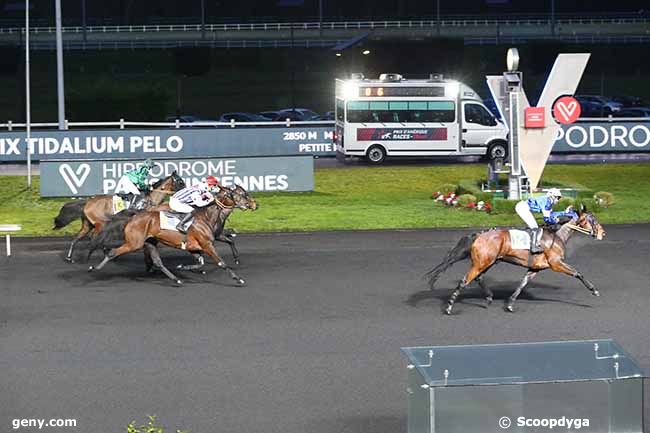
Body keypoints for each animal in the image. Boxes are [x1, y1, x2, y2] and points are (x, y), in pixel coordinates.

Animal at [52, 170, 185, 262]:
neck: (150, 199)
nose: (186, 190)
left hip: (87, 225)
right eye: (180, 182)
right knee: (94, 237)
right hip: (100, 223)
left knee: (77, 238)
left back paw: (70, 257)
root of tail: (88, 202)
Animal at [86, 185, 258, 284]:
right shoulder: (207, 244)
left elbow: (202, 261)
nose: (255, 205)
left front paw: (184, 267)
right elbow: (221, 262)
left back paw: (175, 278)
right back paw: (94, 268)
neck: (207, 217)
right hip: (134, 243)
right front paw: (238, 278)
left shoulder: (195, 246)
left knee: (157, 261)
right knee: (113, 252)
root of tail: (135, 216)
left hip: (150, 241)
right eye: (243, 194)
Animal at [428, 208, 604, 312]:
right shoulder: (556, 263)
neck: (556, 235)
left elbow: (522, 283)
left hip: (488, 262)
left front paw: (510, 303)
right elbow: (577, 273)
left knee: (478, 278)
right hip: (483, 262)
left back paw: (489, 298)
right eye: (593, 220)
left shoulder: (535, 268)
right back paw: (449, 306)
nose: (603, 233)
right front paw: (594, 290)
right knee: (465, 281)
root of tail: (479, 235)